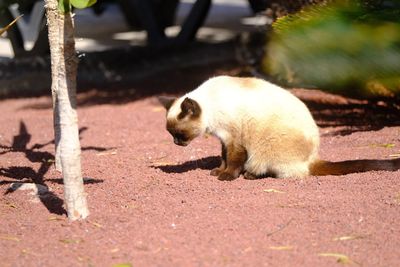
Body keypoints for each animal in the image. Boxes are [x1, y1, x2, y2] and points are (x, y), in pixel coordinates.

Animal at [158, 75, 398, 181]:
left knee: (271, 170)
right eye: (171, 134)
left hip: (265, 149)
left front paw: (226, 176)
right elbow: (223, 157)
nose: (176, 143)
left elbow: (233, 161)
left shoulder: (235, 139)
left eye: (179, 134)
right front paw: (218, 170)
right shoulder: (224, 139)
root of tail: (313, 158)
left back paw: (249, 175)